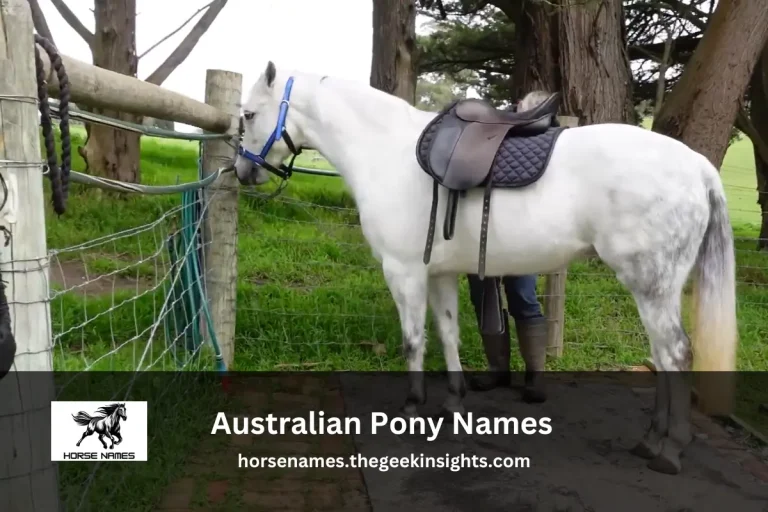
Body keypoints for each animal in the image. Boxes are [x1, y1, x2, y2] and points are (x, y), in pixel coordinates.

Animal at [234, 61, 738, 475]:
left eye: (249, 115)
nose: (243, 172)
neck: (387, 153)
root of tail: (697, 166)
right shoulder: (437, 273)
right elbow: (449, 334)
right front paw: (452, 405)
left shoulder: (403, 273)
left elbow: (413, 342)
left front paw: (412, 409)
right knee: (663, 357)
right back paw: (651, 440)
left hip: (651, 286)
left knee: (675, 354)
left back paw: (669, 449)